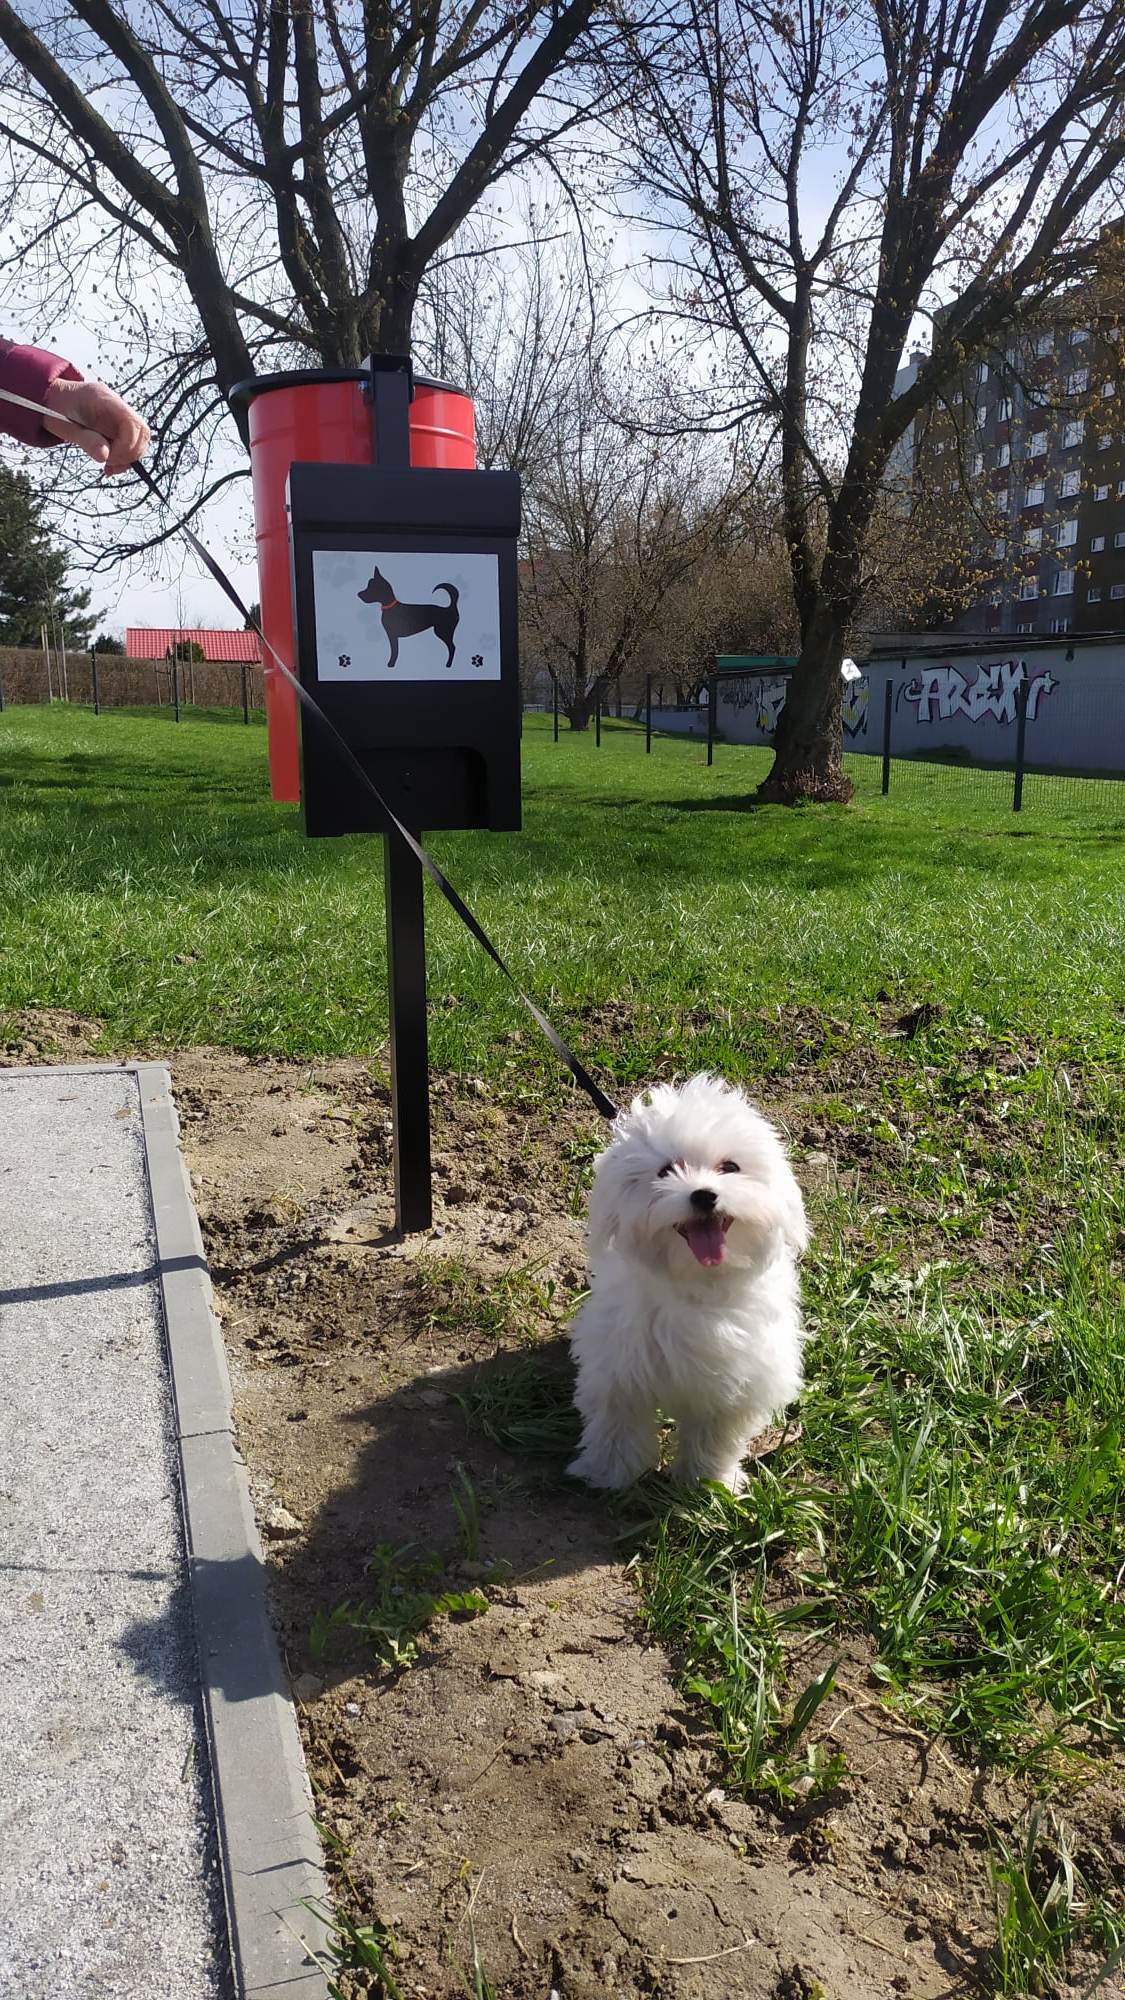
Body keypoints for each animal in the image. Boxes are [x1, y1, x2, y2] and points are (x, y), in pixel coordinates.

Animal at [568, 1080, 804, 1488]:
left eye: (730, 1167)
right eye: (665, 1171)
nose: (704, 1195)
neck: (696, 1283)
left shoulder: (733, 1385)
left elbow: (714, 1436)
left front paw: (706, 1480)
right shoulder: (619, 1367)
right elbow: (617, 1424)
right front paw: (607, 1474)